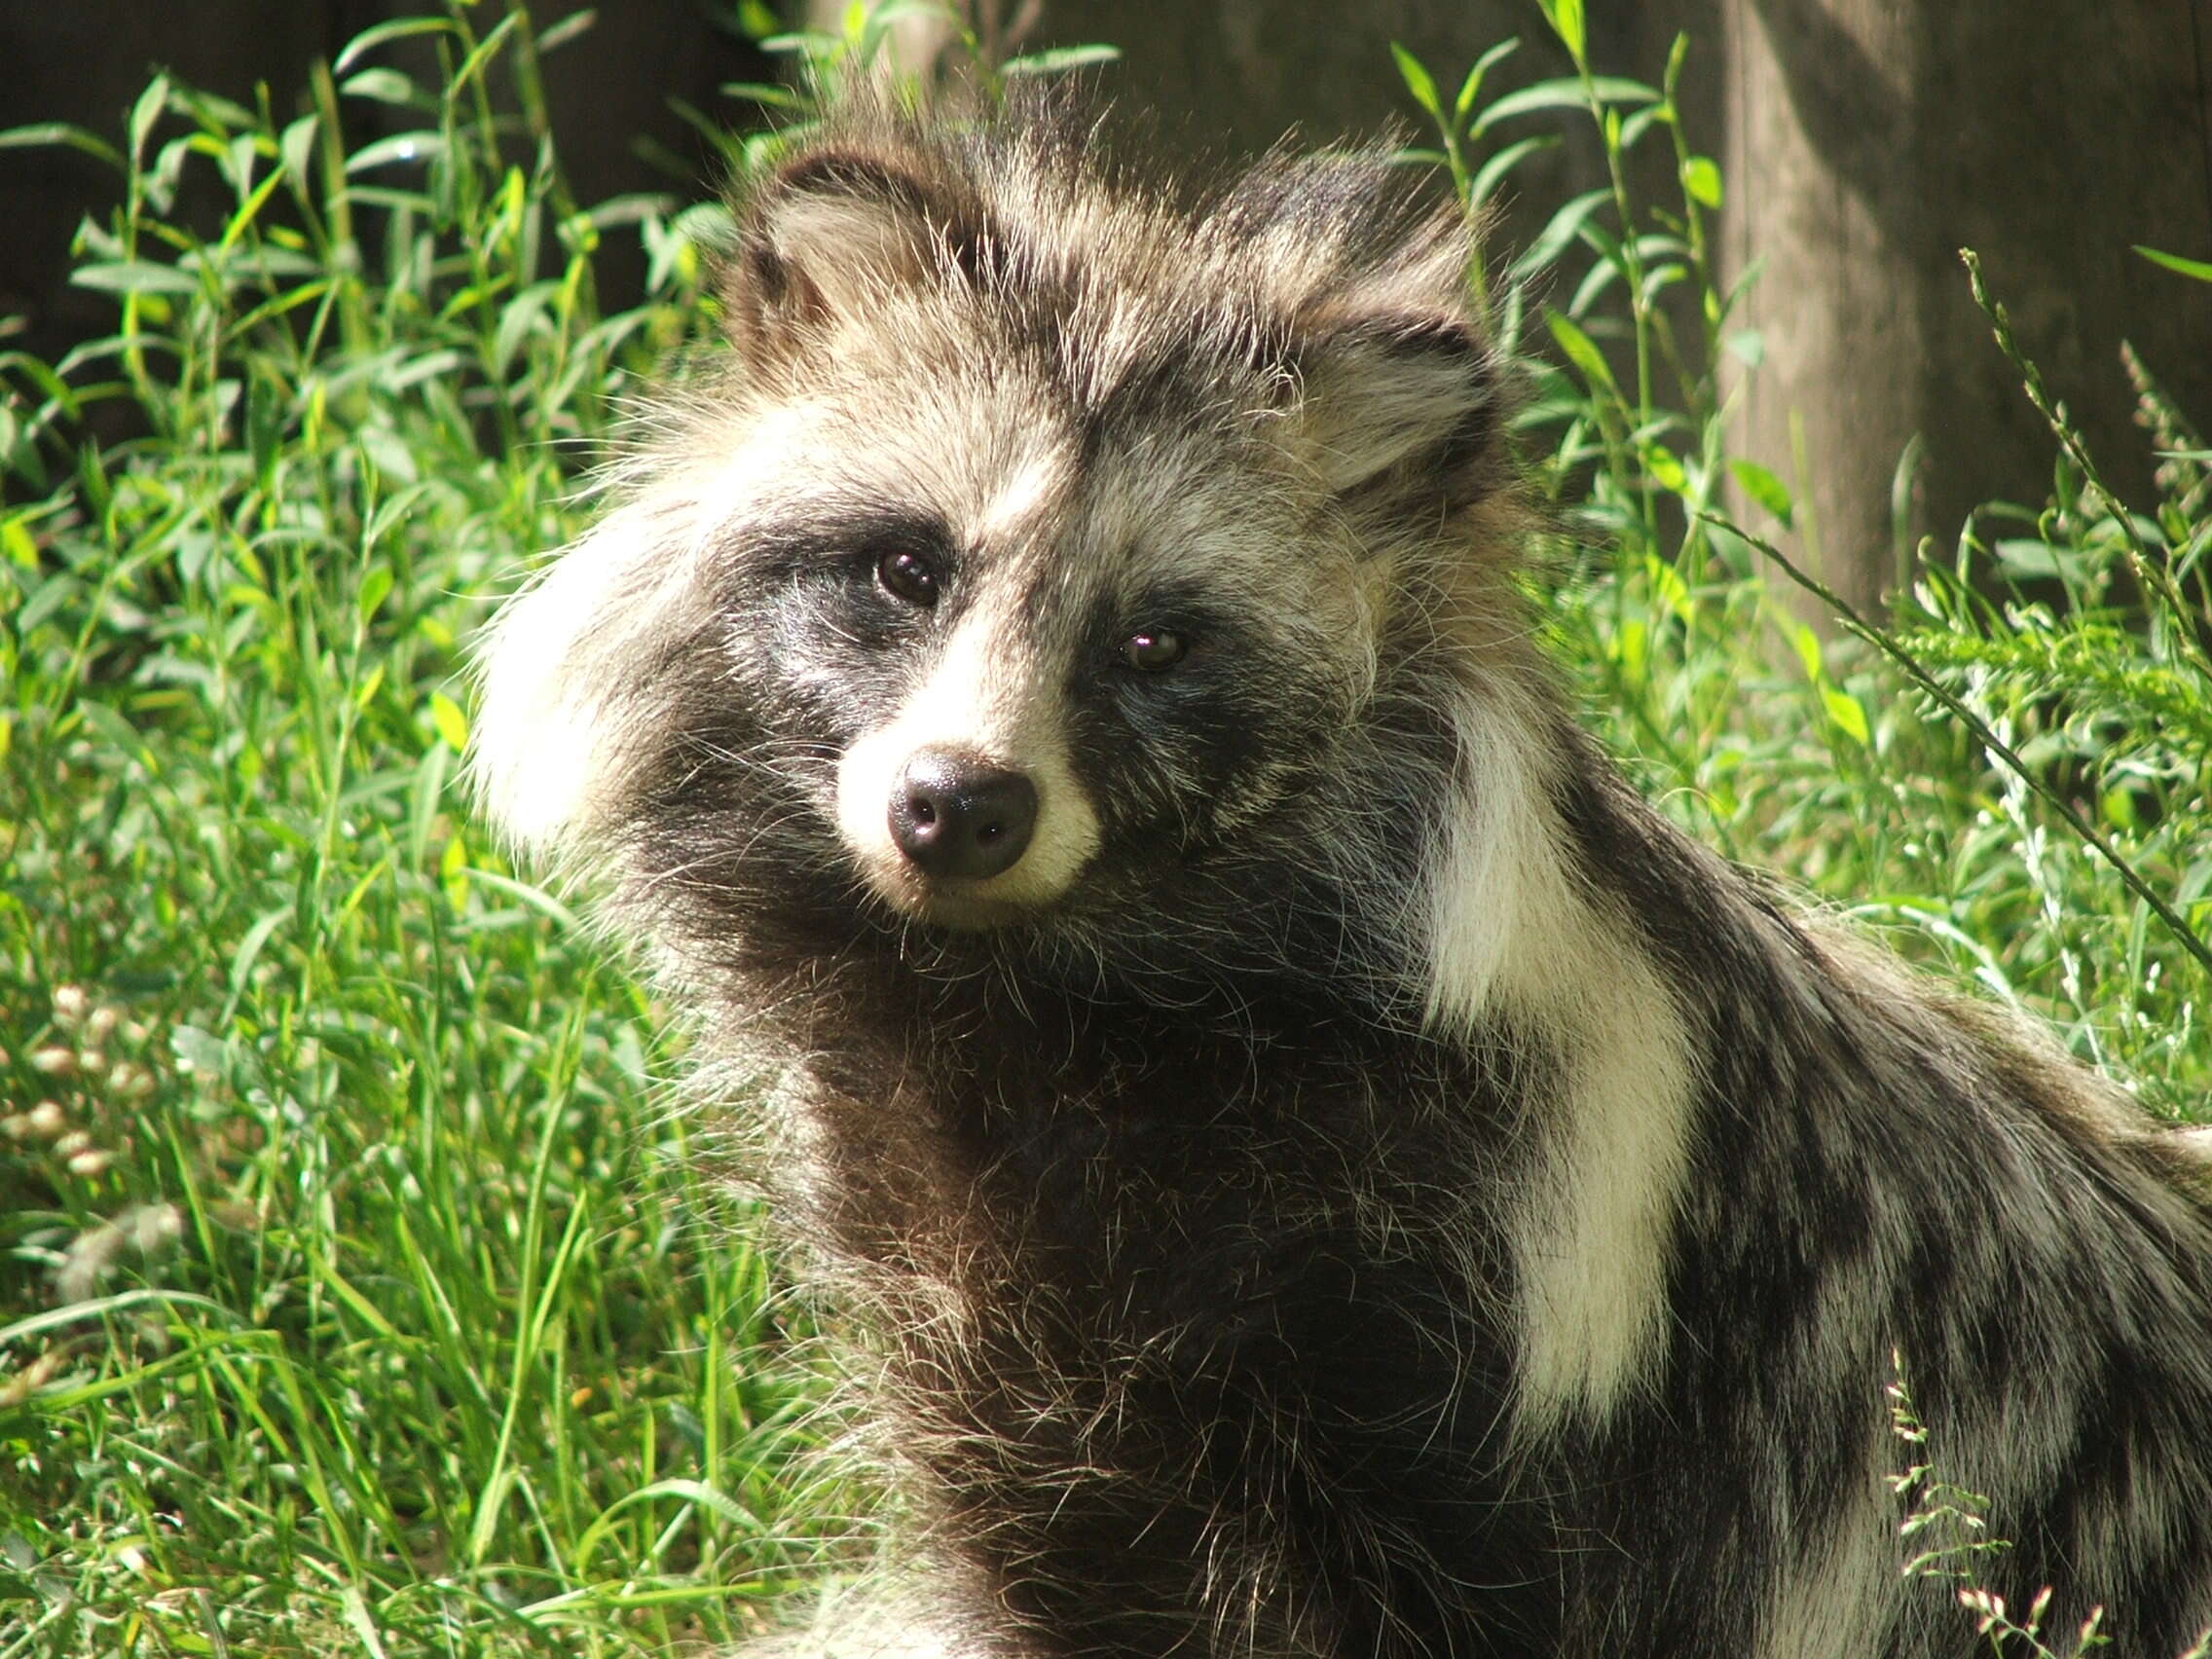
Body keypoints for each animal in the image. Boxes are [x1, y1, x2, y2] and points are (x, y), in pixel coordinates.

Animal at [475, 103, 2212, 1659]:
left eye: (1153, 640)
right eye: (910, 567)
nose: (957, 807)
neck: (1053, 1001)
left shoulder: (1528, 1324)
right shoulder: (998, 1335)